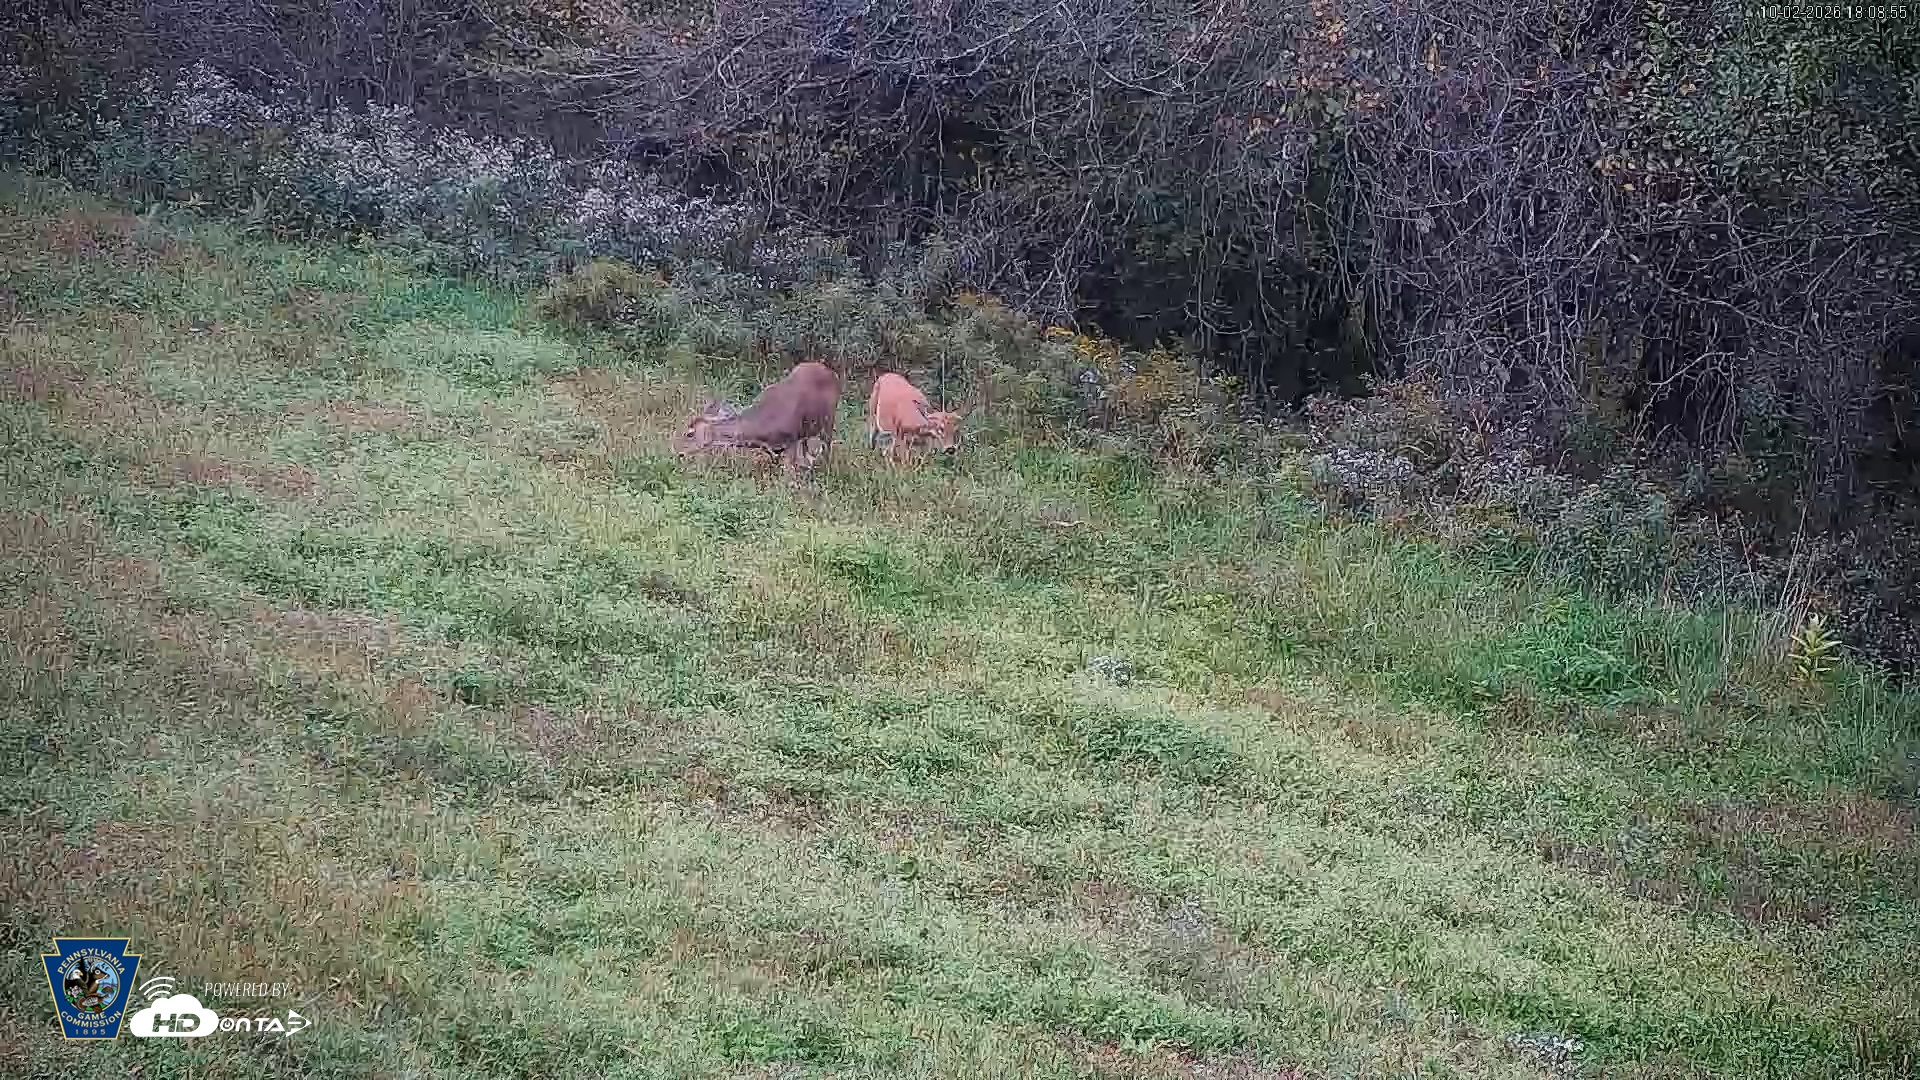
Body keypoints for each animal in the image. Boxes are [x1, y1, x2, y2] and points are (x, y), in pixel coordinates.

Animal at [675, 361, 842, 474]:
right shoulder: (775, 449)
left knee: (827, 445)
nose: (678, 452)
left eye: (689, 433)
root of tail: (832, 372)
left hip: (829, 418)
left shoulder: (792, 438)